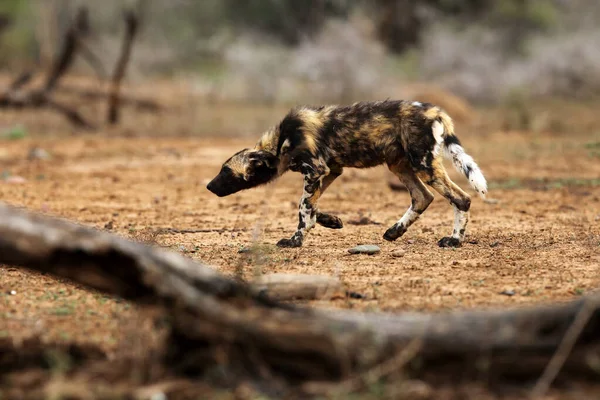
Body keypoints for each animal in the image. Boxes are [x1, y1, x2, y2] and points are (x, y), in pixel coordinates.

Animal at [207, 101, 488, 247]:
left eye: (225, 171)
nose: (209, 186)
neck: (280, 143)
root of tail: (434, 110)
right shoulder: (331, 170)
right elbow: (310, 205)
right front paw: (329, 221)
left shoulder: (316, 170)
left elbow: (303, 207)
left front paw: (296, 239)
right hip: (399, 165)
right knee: (423, 197)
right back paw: (394, 232)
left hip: (423, 165)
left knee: (461, 199)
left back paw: (454, 240)